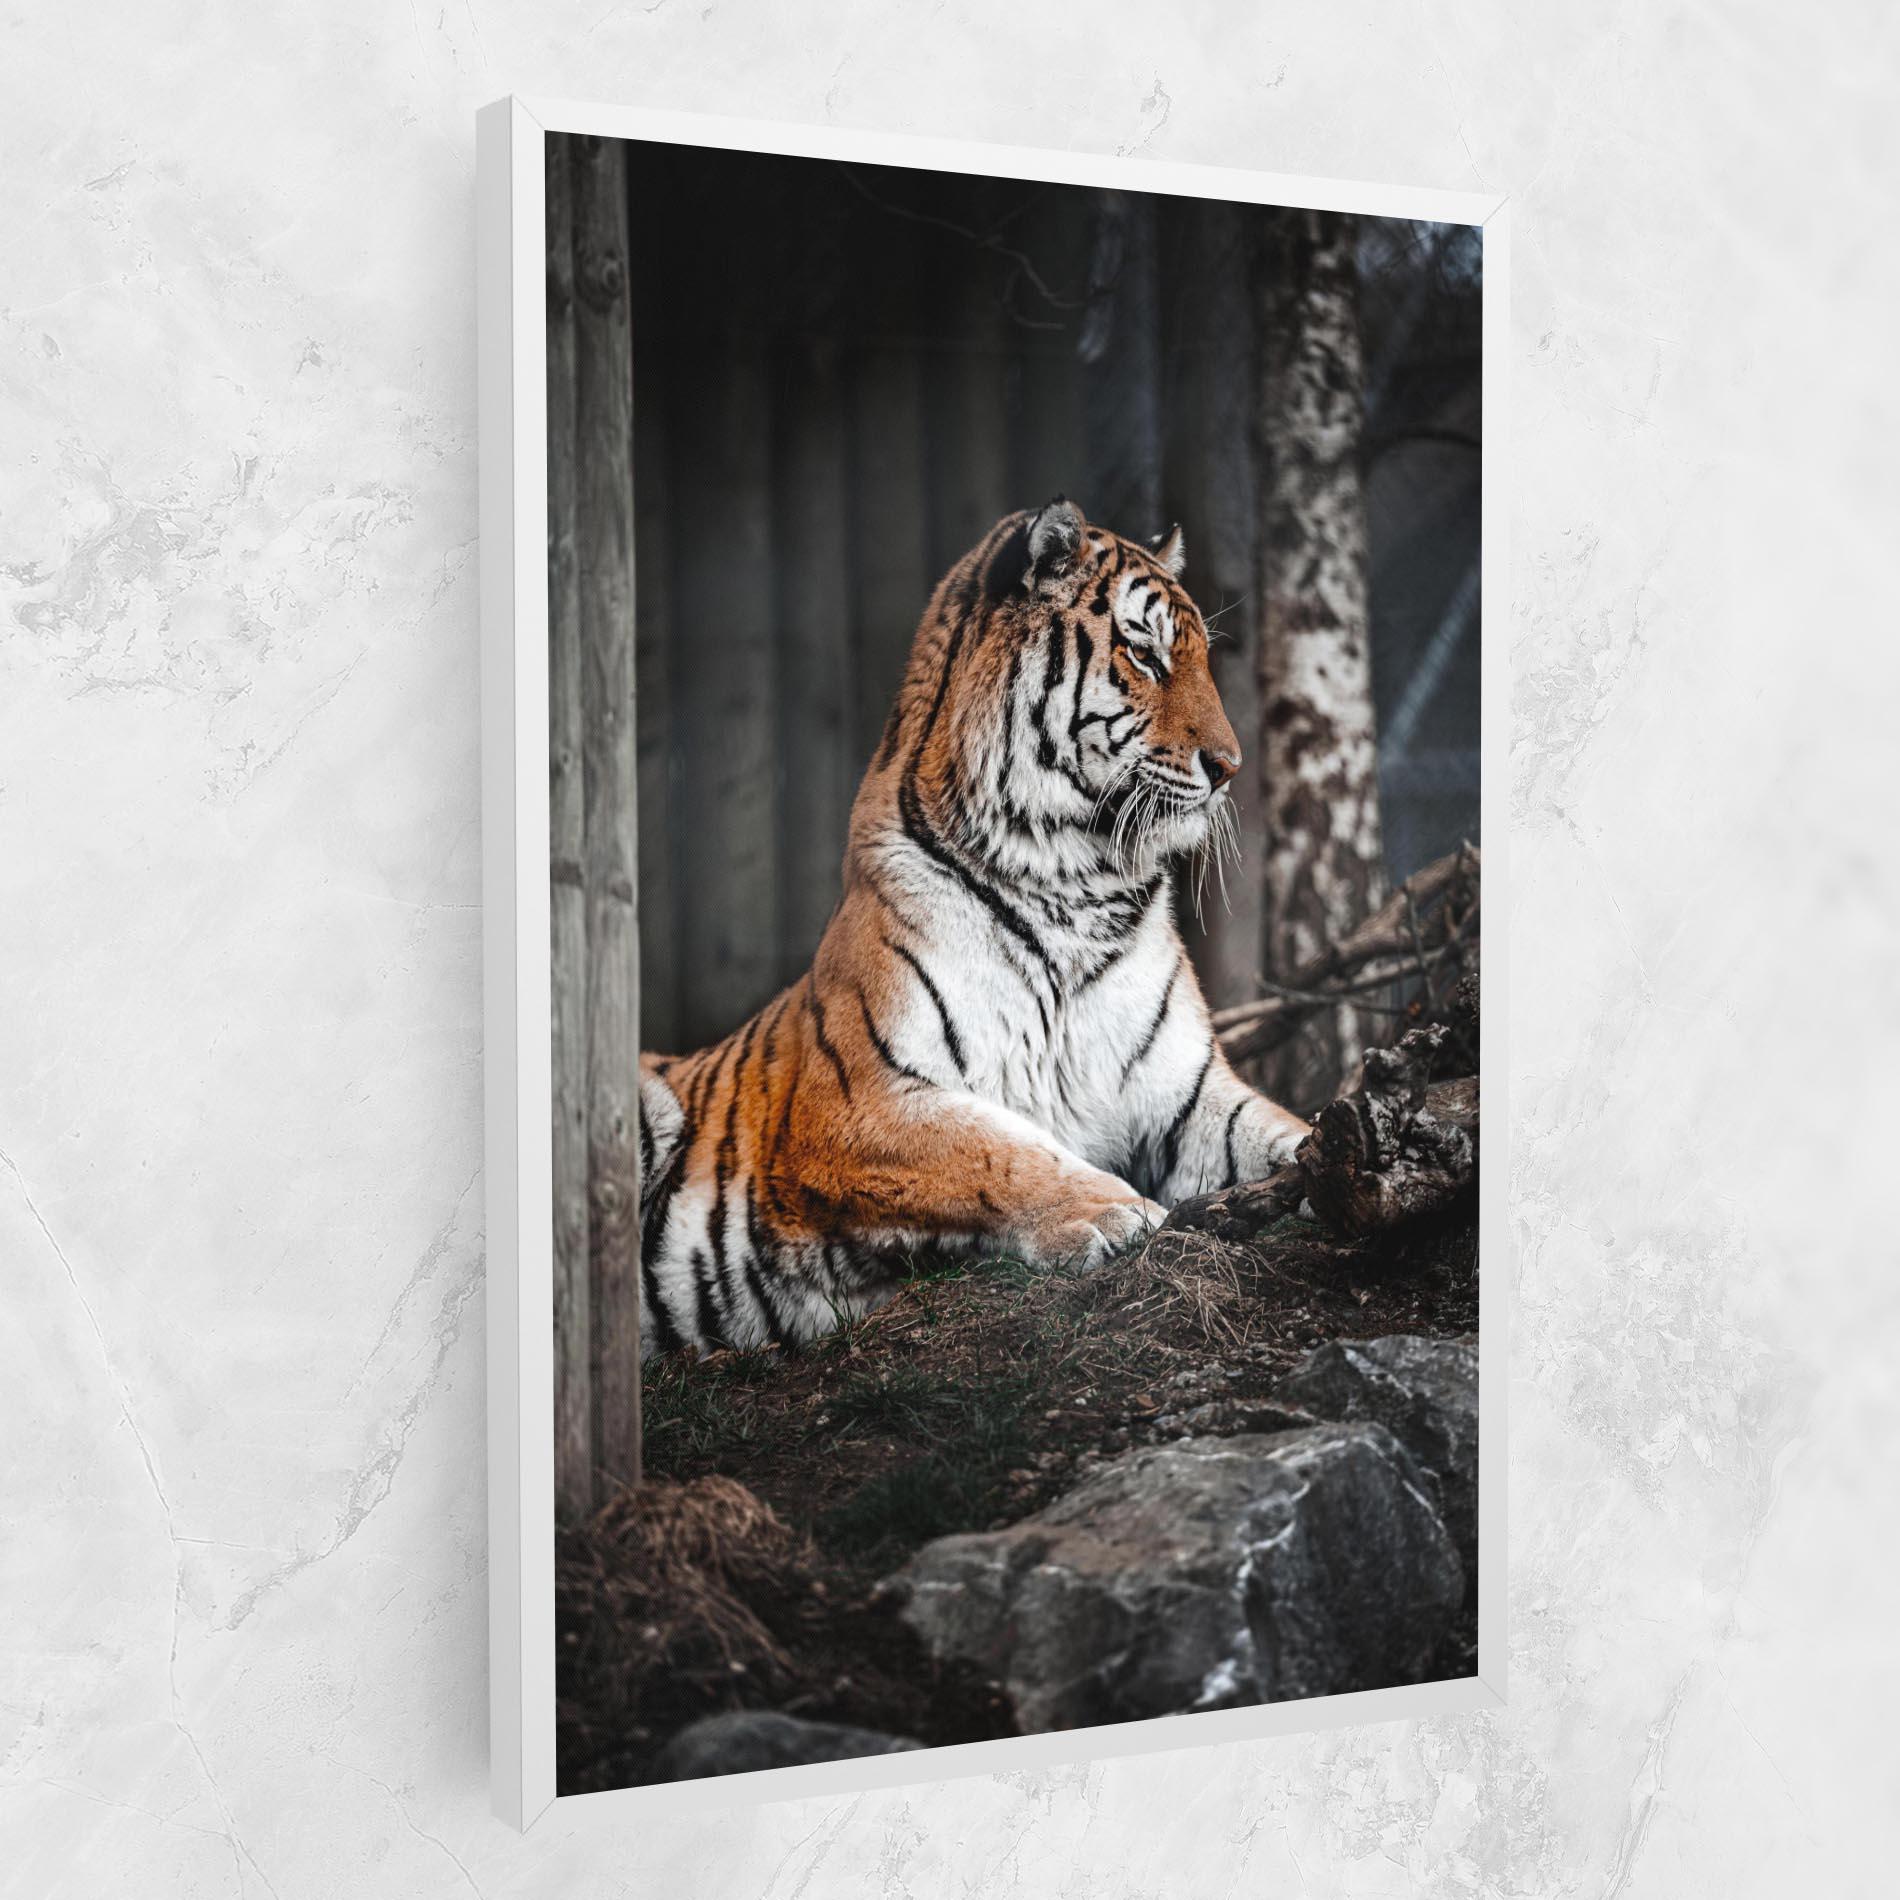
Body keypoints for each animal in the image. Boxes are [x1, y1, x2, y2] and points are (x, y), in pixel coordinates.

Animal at [635, 497, 1309, 1356]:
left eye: (1199, 660)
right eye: (1144, 653)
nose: (1230, 768)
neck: (1078, 886)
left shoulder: (1190, 1097)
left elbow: (1278, 1128)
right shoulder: (856, 1102)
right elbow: (996, 1148)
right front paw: (1114, 1211)